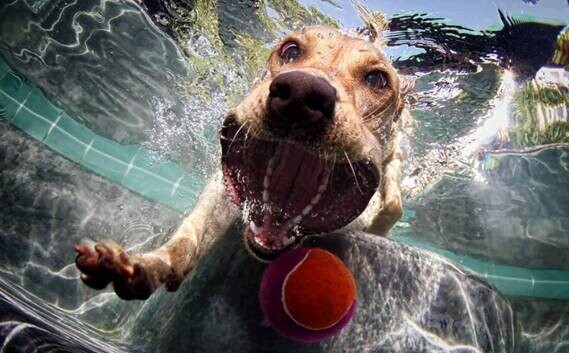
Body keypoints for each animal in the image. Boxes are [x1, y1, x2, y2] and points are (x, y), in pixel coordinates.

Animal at [74, 26, 412, 298]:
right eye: (290, 50)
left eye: (377, 79)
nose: (301, 94)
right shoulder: (220, 191)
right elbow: (188, 238)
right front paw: (146, 265)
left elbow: (390, 205)